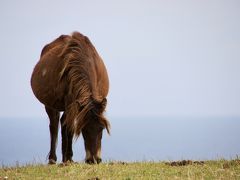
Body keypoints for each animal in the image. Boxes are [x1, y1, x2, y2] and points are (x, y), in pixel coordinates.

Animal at [30, 31, 110, 164]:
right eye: (83, 130)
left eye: (102, 128)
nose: (93, 160)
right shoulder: (70, 102)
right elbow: (69, 127)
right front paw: (66, 158)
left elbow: (69, 126)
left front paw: (69, 157)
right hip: (51, 105)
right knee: (54, 125)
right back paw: (54, 159)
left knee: (62, 122)